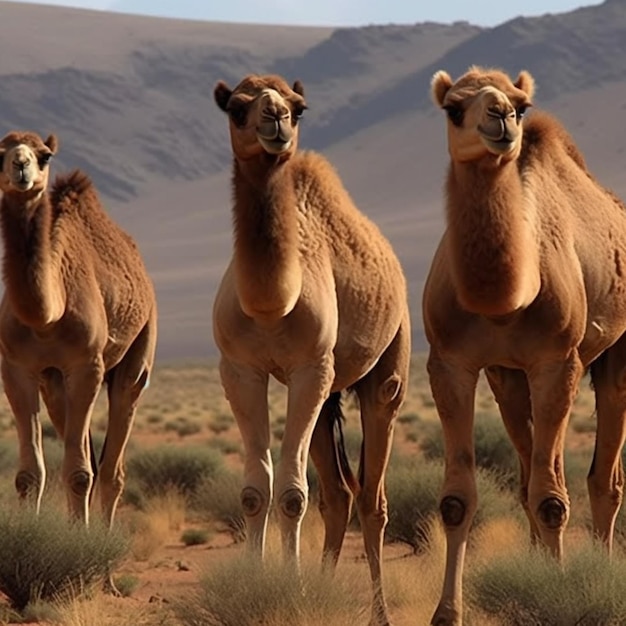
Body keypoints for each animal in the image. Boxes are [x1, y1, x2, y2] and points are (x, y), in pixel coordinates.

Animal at [0, 132, 157, 532]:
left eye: (44, 155)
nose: (20, 166)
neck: (46, 318)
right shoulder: (17, 368)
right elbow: (29, 474)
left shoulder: (87, 365)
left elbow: (79, 473)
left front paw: (86, 543)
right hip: (54, 382)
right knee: (91, 457)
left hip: (138, 352)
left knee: (111, 468)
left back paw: (106, 544)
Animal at [212, 74, 412, 624]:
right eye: (237, 108)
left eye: (298, 108)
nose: (276, 119)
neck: (271, 304)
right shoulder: (239, 369)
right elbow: (256, 491)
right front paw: (256, 589)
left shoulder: (309, 367)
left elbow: (292, 495)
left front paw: (292, 593)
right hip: (327, 395)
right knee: (339, 495)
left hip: (387, 367)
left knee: (371, 497)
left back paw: (379, 612)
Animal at [420, 64, 626, 624]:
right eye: (453, 107)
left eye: (520, 103)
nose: (501, 117)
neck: (506, 300)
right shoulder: (452, 363)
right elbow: (457, 499)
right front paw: (446, 613)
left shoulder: (556, 362)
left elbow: (553, 499)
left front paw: (559, 597)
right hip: (508, 377)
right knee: (528, 470)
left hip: (615, 355)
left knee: (603, 480)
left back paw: (603, 571)